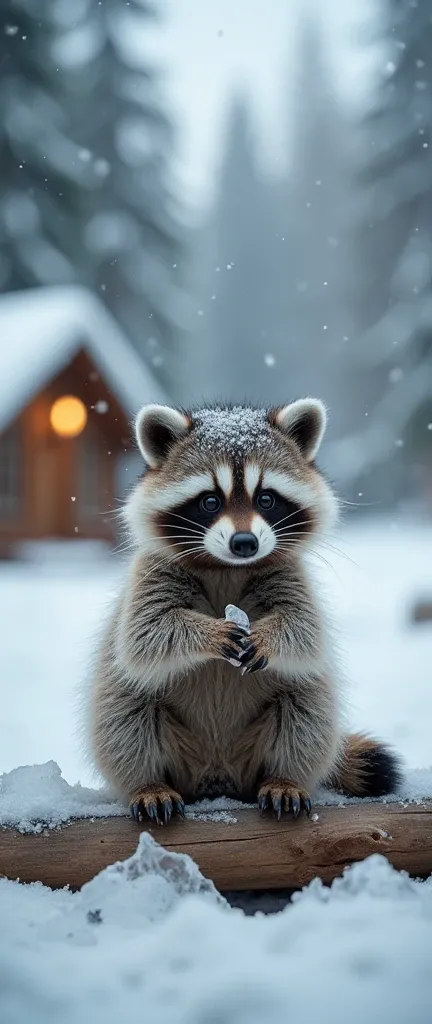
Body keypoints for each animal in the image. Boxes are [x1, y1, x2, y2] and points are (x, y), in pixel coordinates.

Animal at [88, 399, 401, 823]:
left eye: (266, 499)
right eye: (209, 501)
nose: (244, 542)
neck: (227, 567)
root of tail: (218, 777)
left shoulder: (291, 574)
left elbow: (305, 631)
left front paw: (268, 635)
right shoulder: (150, 572)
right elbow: (146, 633)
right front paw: (207, 631)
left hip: (283, 729)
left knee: (306, 710)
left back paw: (285, 777)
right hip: (137, 720)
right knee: (125, 715)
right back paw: (148, 783)